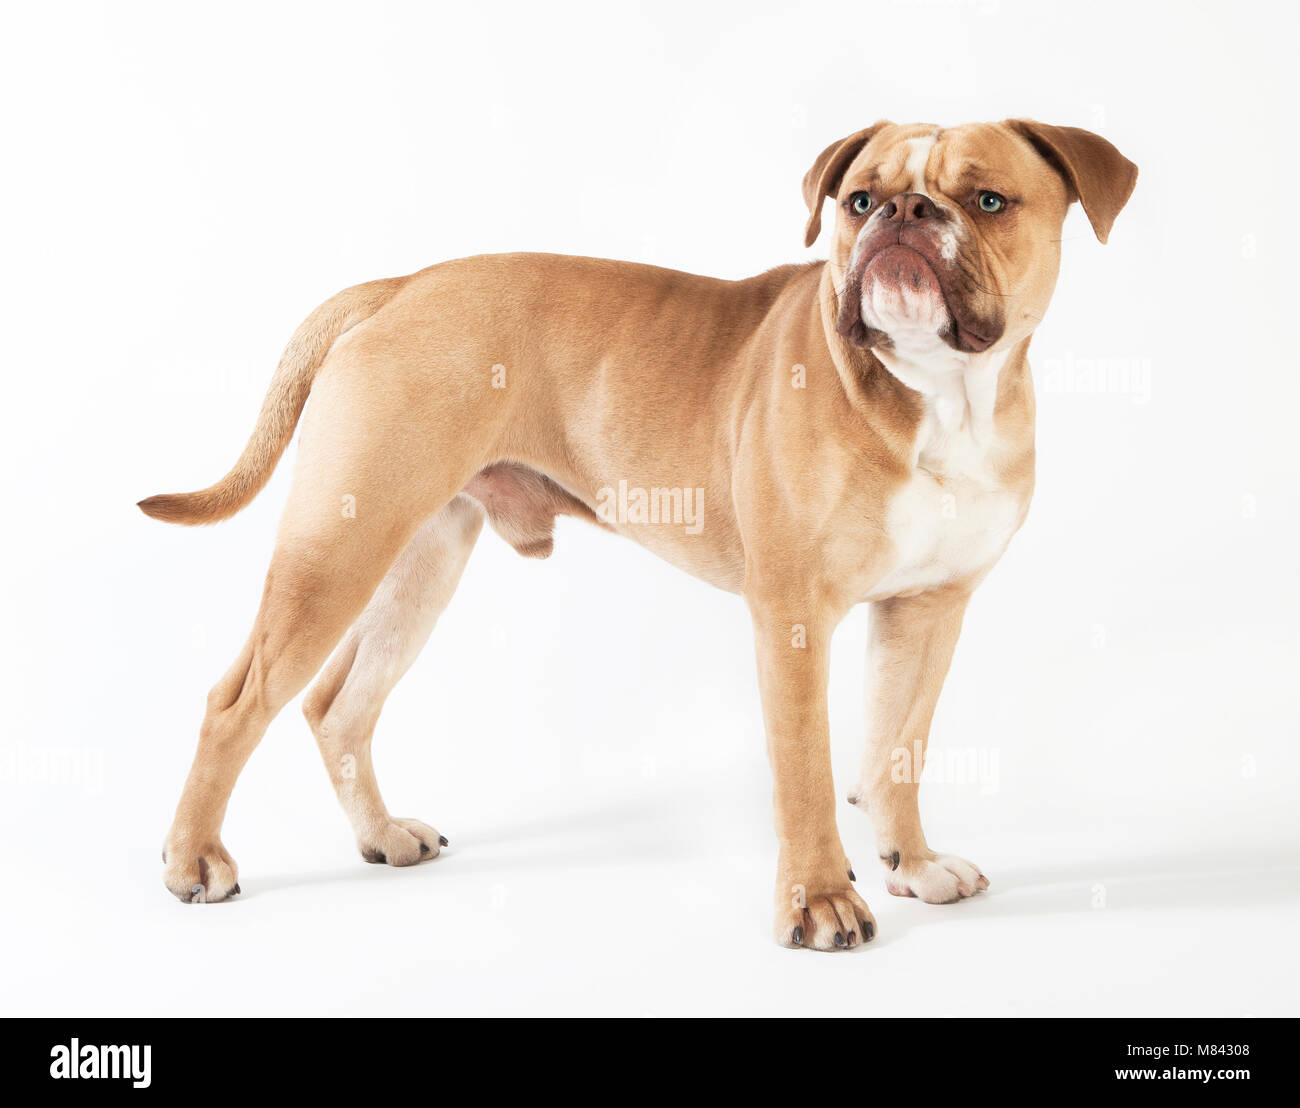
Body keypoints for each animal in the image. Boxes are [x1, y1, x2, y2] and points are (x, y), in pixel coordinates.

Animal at [142, 120, 1133, 951]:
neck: (939, 392)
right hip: (337, 552)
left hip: (417, 558)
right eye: (859, 200)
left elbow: (898, 751)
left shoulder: (927, 612)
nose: (903, 213)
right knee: (237, 701)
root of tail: (400, 286)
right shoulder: (793, 617)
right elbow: (808, 772)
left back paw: (382, 837)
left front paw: (914, 866)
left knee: (338, 703)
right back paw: (193, 861)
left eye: (988, 201)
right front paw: (821, 901)